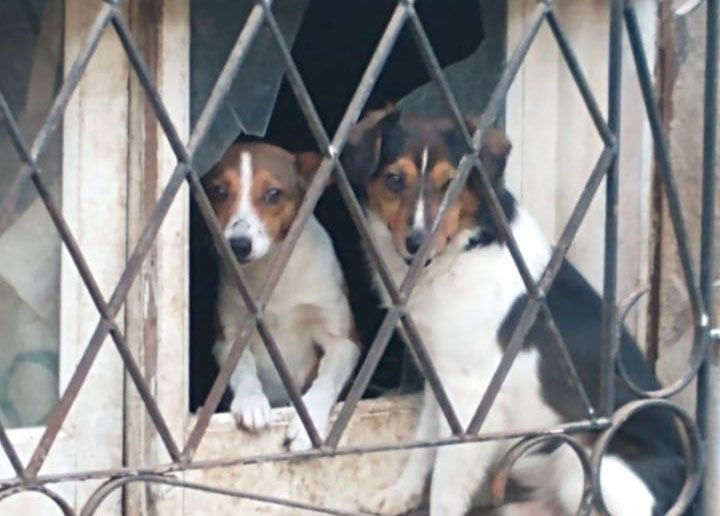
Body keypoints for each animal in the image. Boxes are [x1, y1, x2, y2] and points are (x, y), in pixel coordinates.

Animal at [202, 143, 360, 450]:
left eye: (273, 194)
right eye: (219, 191)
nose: (238, 245)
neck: (271, 268)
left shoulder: (344, 341)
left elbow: (325, 381)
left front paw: (308, 422)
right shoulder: (228, 337)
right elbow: (243, 367)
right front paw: (251, 401)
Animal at [344, 107, 688, 512]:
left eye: (451, 183)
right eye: (395, 180)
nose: (418, 242)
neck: (463, 248)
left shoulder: (472, 396)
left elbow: (445, 486)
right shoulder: (441, 379)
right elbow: (423, 448)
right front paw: (400, 494)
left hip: (584, 466)